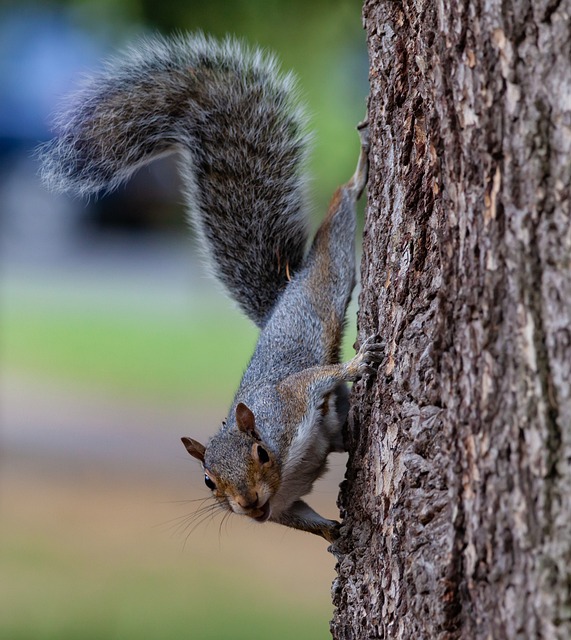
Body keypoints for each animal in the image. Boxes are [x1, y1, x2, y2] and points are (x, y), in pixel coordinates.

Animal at [38, 33, 382, 543]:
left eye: (261, 452)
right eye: (207, 481)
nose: (249, 505)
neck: (284, 466)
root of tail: (283, 294)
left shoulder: (289, 403)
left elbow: (315, 379)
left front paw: (359, 363)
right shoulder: (284, 506)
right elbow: (302, 517)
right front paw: (334, 535)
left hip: (323, 283)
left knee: (334, 237)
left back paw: (358, 174)